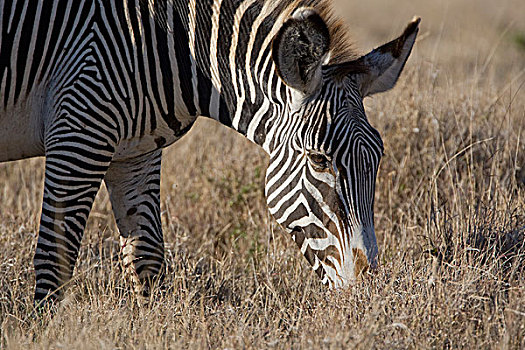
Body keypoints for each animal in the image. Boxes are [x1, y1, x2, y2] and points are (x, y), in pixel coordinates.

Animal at [0, 0, 418, 306]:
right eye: (319, 159)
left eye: (377, 158)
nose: (366, 290)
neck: (164, 42)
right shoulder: (78, 129)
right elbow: (55, 258)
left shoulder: (134, 152)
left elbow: (147, 258)